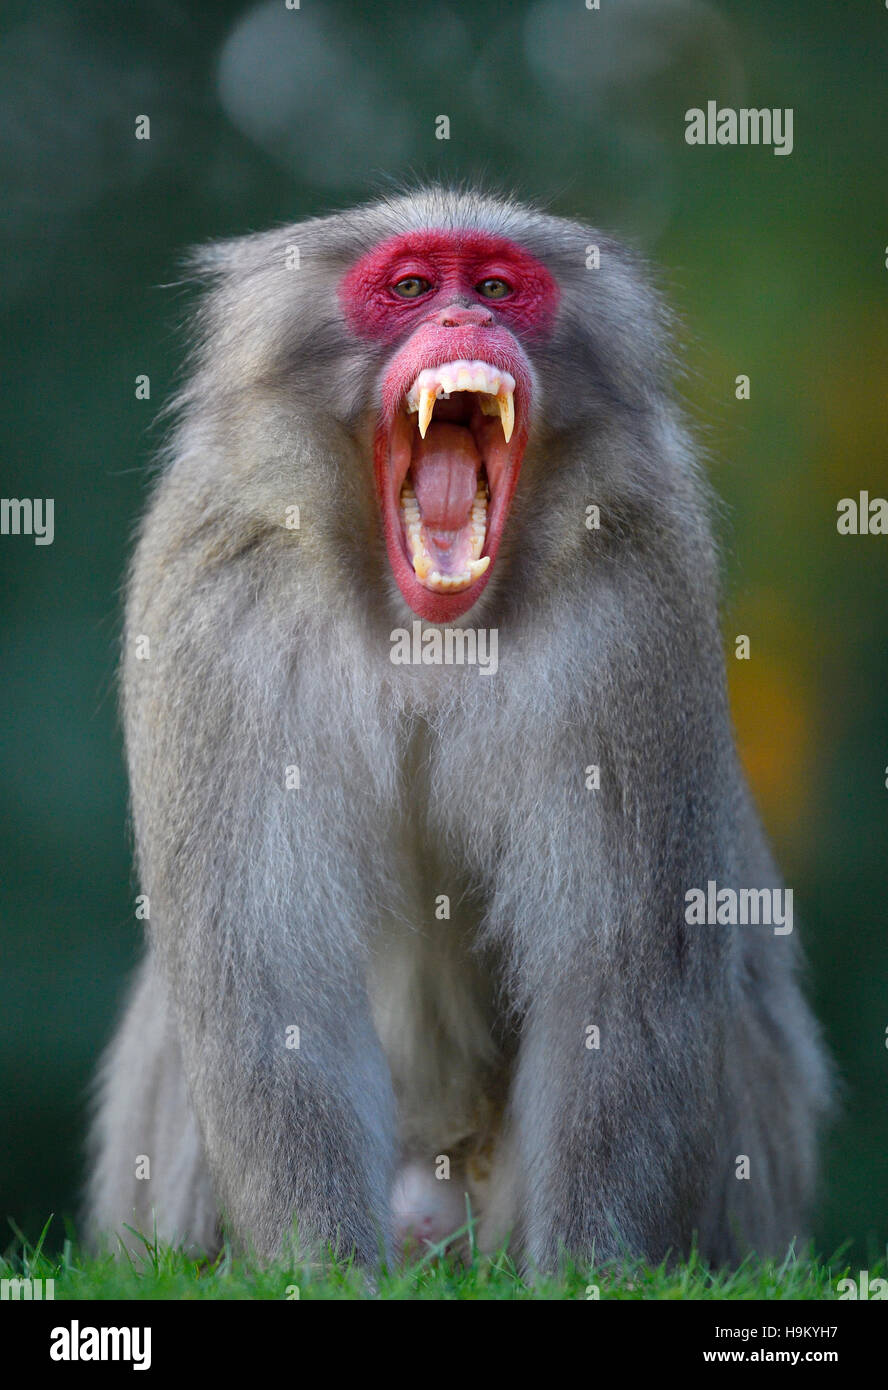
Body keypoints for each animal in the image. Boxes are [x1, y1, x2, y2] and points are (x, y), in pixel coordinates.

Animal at [86, 187, 833, 1272]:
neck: (426, 630)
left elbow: (621, 973)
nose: (462, 320)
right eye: (408, 287)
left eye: (495, 286)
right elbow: (268, 978)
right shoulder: (218, 584)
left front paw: (586, 1270)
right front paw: (326, 1271)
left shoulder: (639, 590)